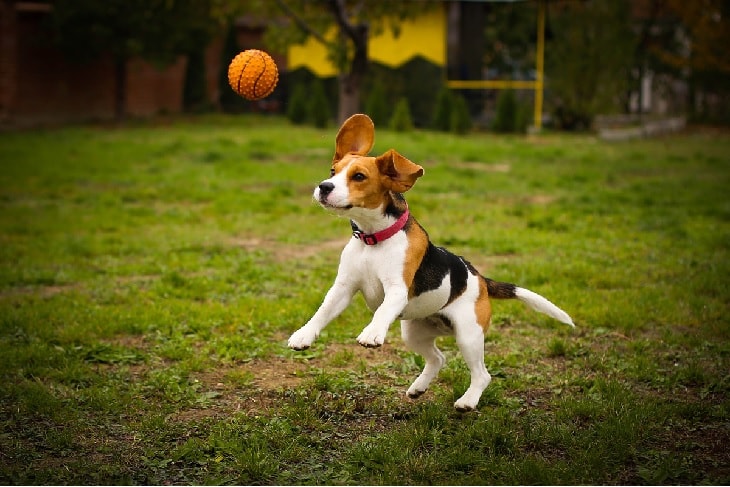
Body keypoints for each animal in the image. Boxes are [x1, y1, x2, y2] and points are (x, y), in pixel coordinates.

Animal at [288, 113, 572, 412]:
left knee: (482, 374)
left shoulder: (397, 290)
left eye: (359, 176)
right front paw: (304, 336)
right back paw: (418, 388)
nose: (324, 187)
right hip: (414, 333)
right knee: (438, 359)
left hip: (468, 335)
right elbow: (322, 311)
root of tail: (481, 279)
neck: (373, 238)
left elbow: (382, 311)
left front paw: (372, 333)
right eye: (333, 171)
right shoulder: (342, 288)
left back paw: (467, 401)